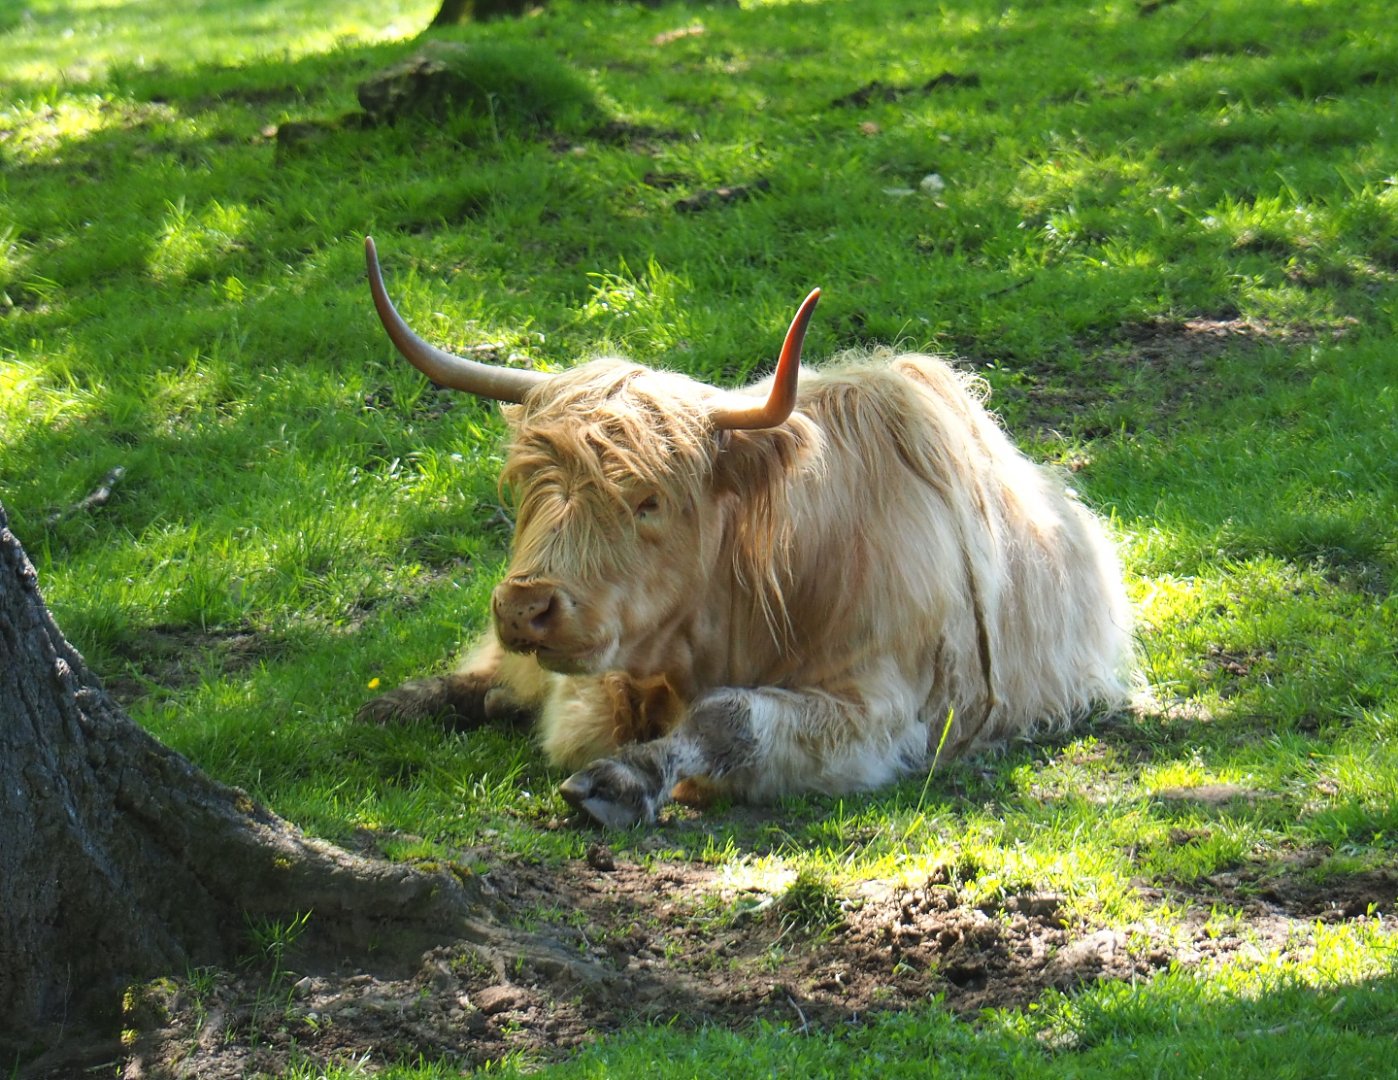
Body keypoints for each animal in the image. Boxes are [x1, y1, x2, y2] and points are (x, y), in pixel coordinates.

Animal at [358, 237, 1133, 828]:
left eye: (649, 500)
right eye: (528, 488)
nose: (525, 607)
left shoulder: (877, 712)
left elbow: (726, 717)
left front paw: (621, 782)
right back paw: (404, 705)